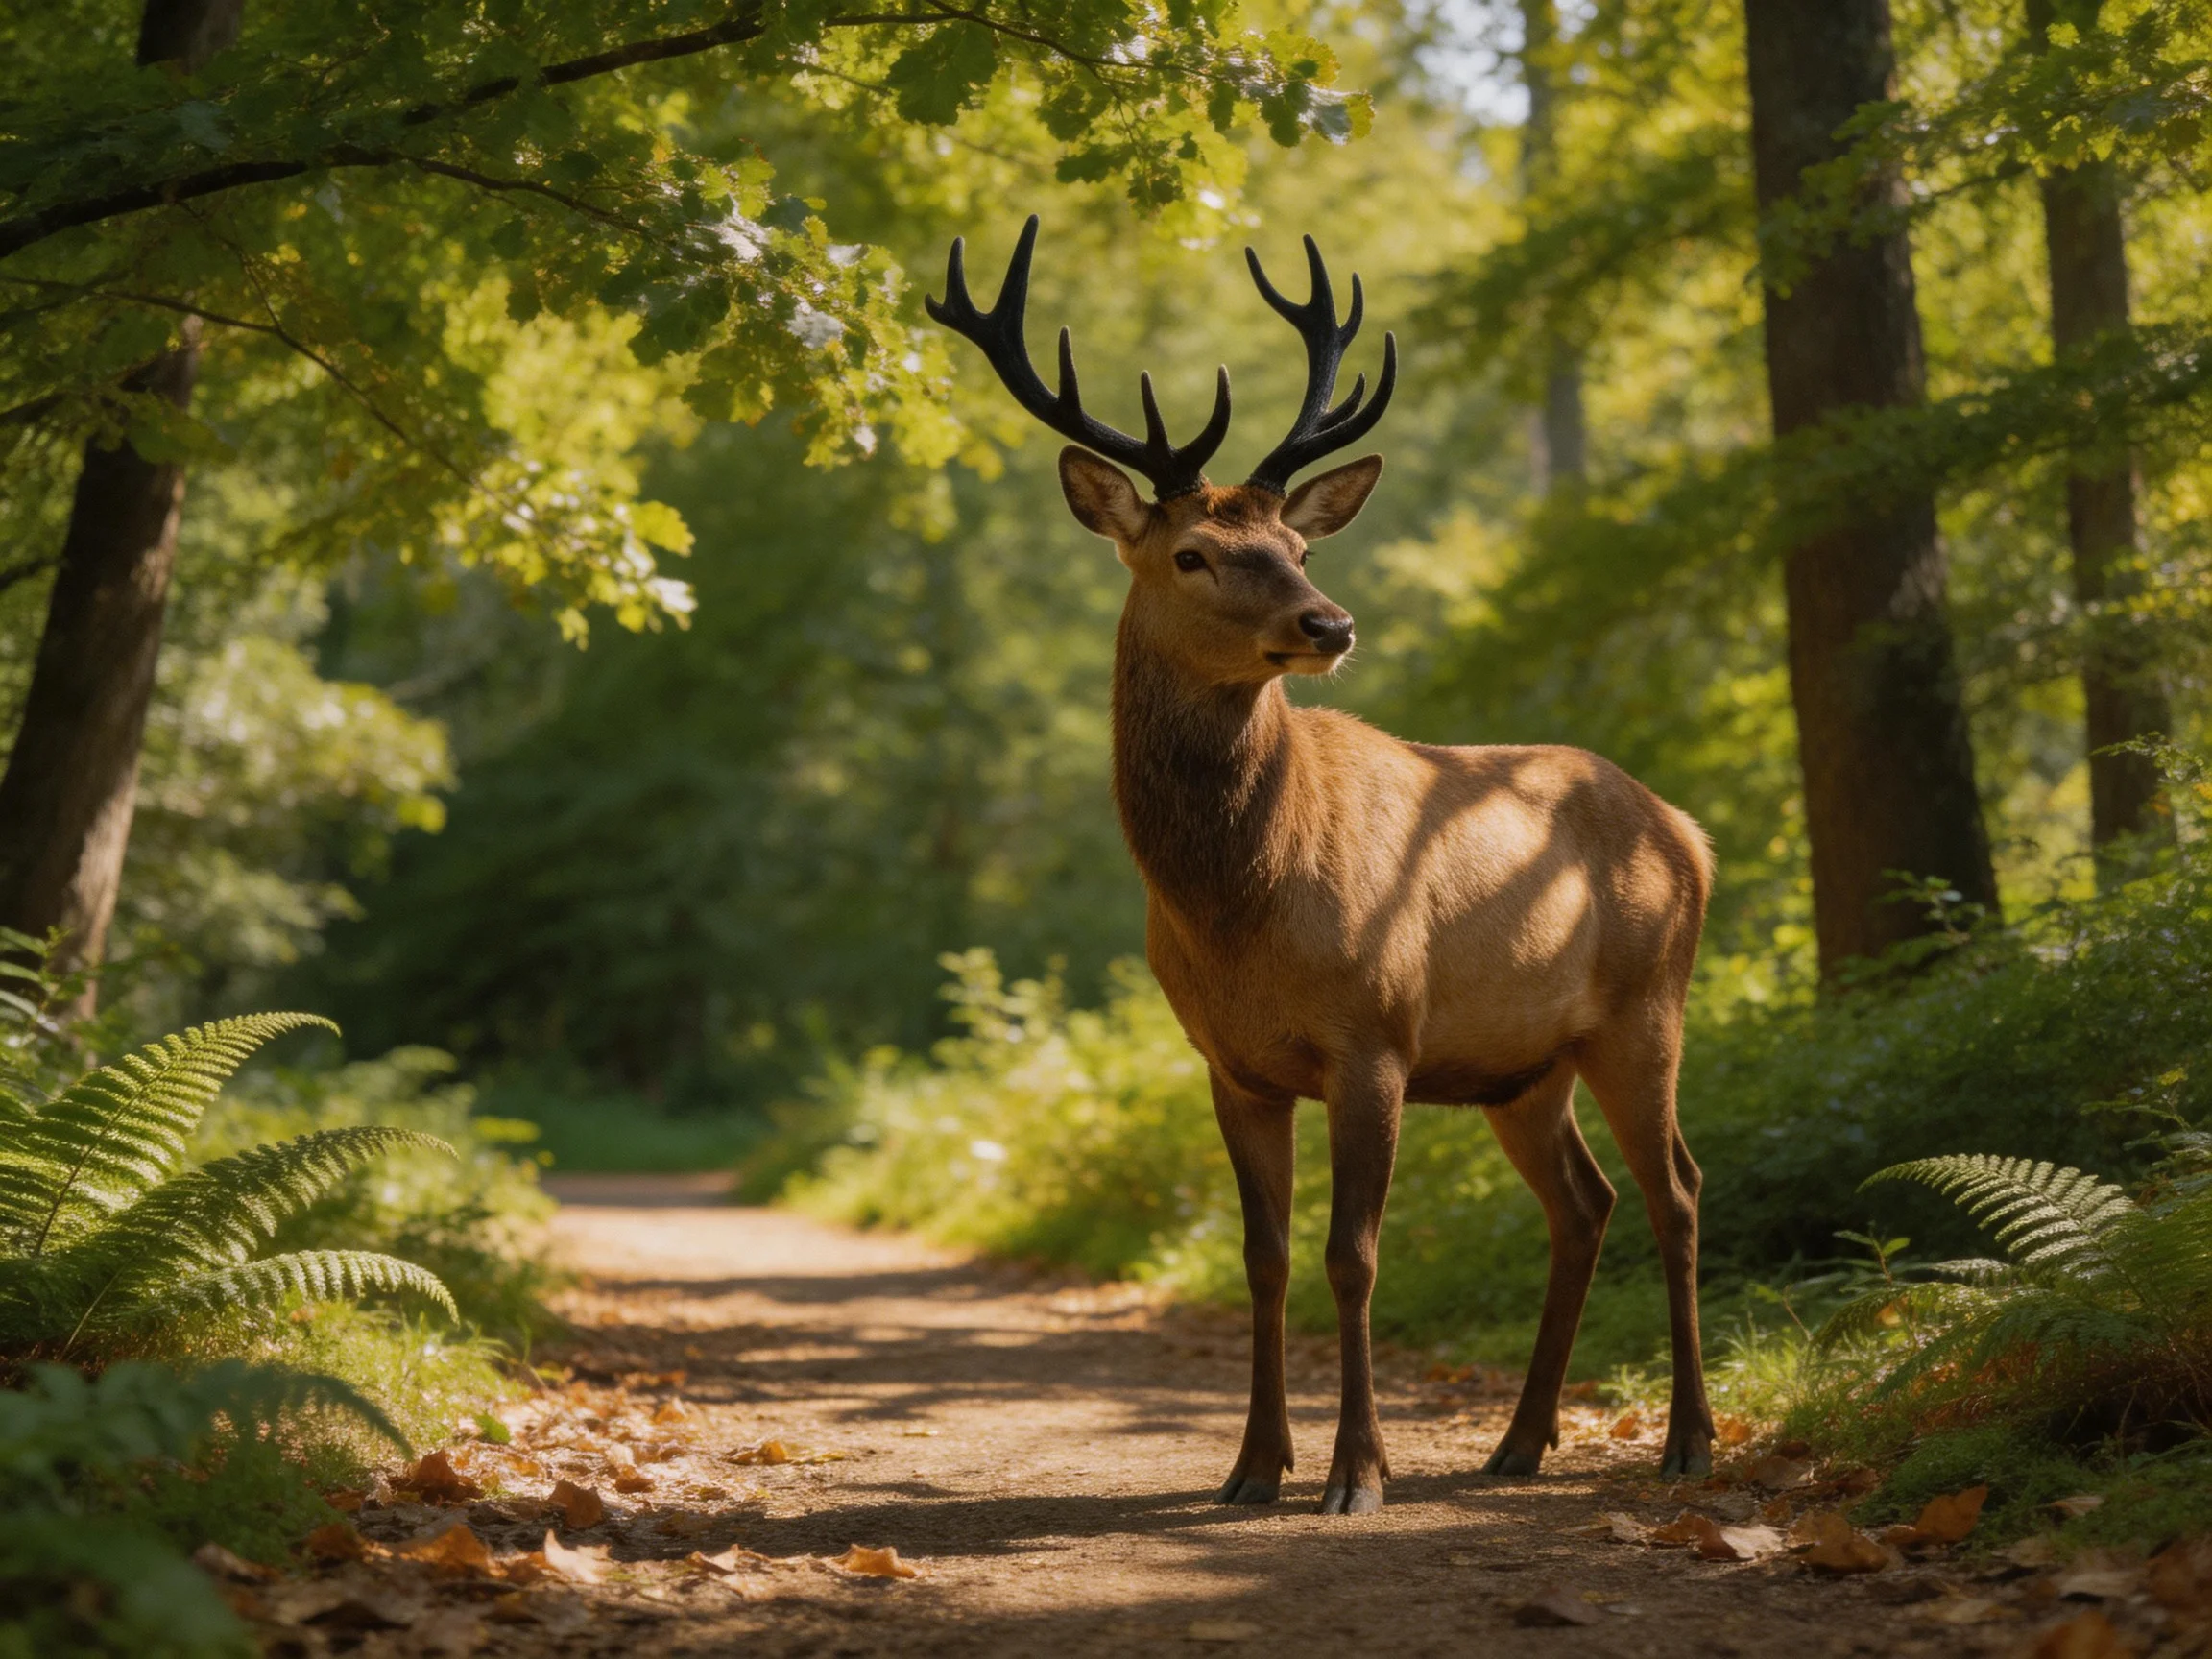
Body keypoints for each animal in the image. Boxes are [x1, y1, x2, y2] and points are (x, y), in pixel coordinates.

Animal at [929, 218, 1716, 1515]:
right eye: (1194, 554)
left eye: (1296, 542)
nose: (1330, 624)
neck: (1239, 906)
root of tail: (1688, 831)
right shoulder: (1231, 1064)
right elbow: (1264, 1256)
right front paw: (1253, 1466)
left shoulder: (1374, 1037)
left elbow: (1353, 1256)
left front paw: (1357, 1474)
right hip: (1523, 1066)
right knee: (1585, 1203)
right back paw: (1518, 1440)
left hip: (1646, 1011)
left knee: (1679, 1191)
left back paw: (1689, 1439)